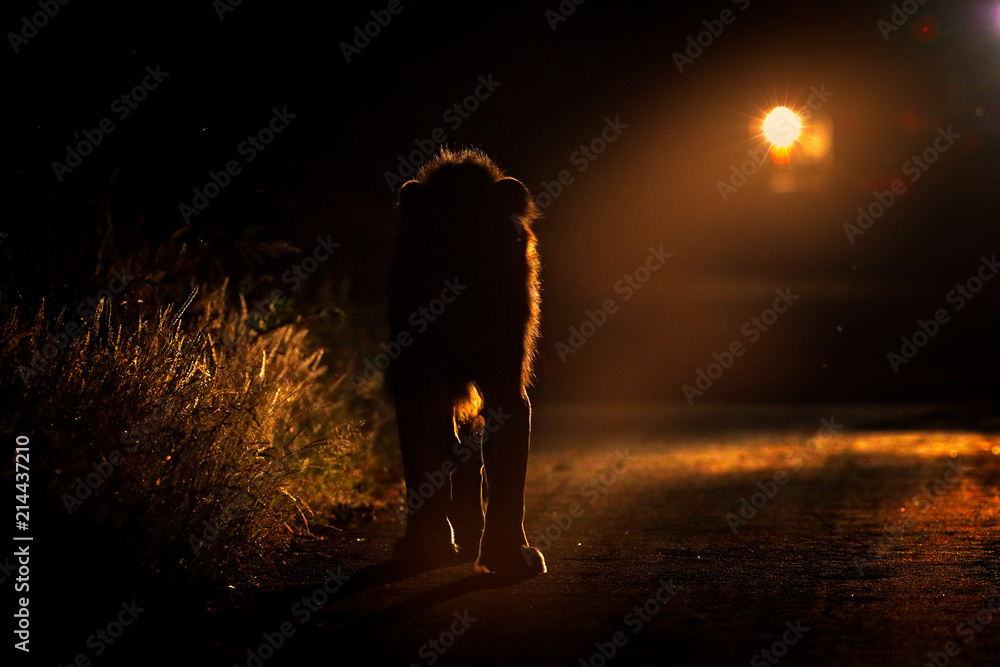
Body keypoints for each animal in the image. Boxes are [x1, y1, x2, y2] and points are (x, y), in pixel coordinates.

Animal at [386, 147, 545, 576]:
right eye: (438, 248)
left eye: (483, 246)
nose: (470, 319)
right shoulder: (418, 383)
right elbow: (422, 466)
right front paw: (425, 546)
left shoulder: (504, 382)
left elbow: (508, 475)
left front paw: (507, 553)